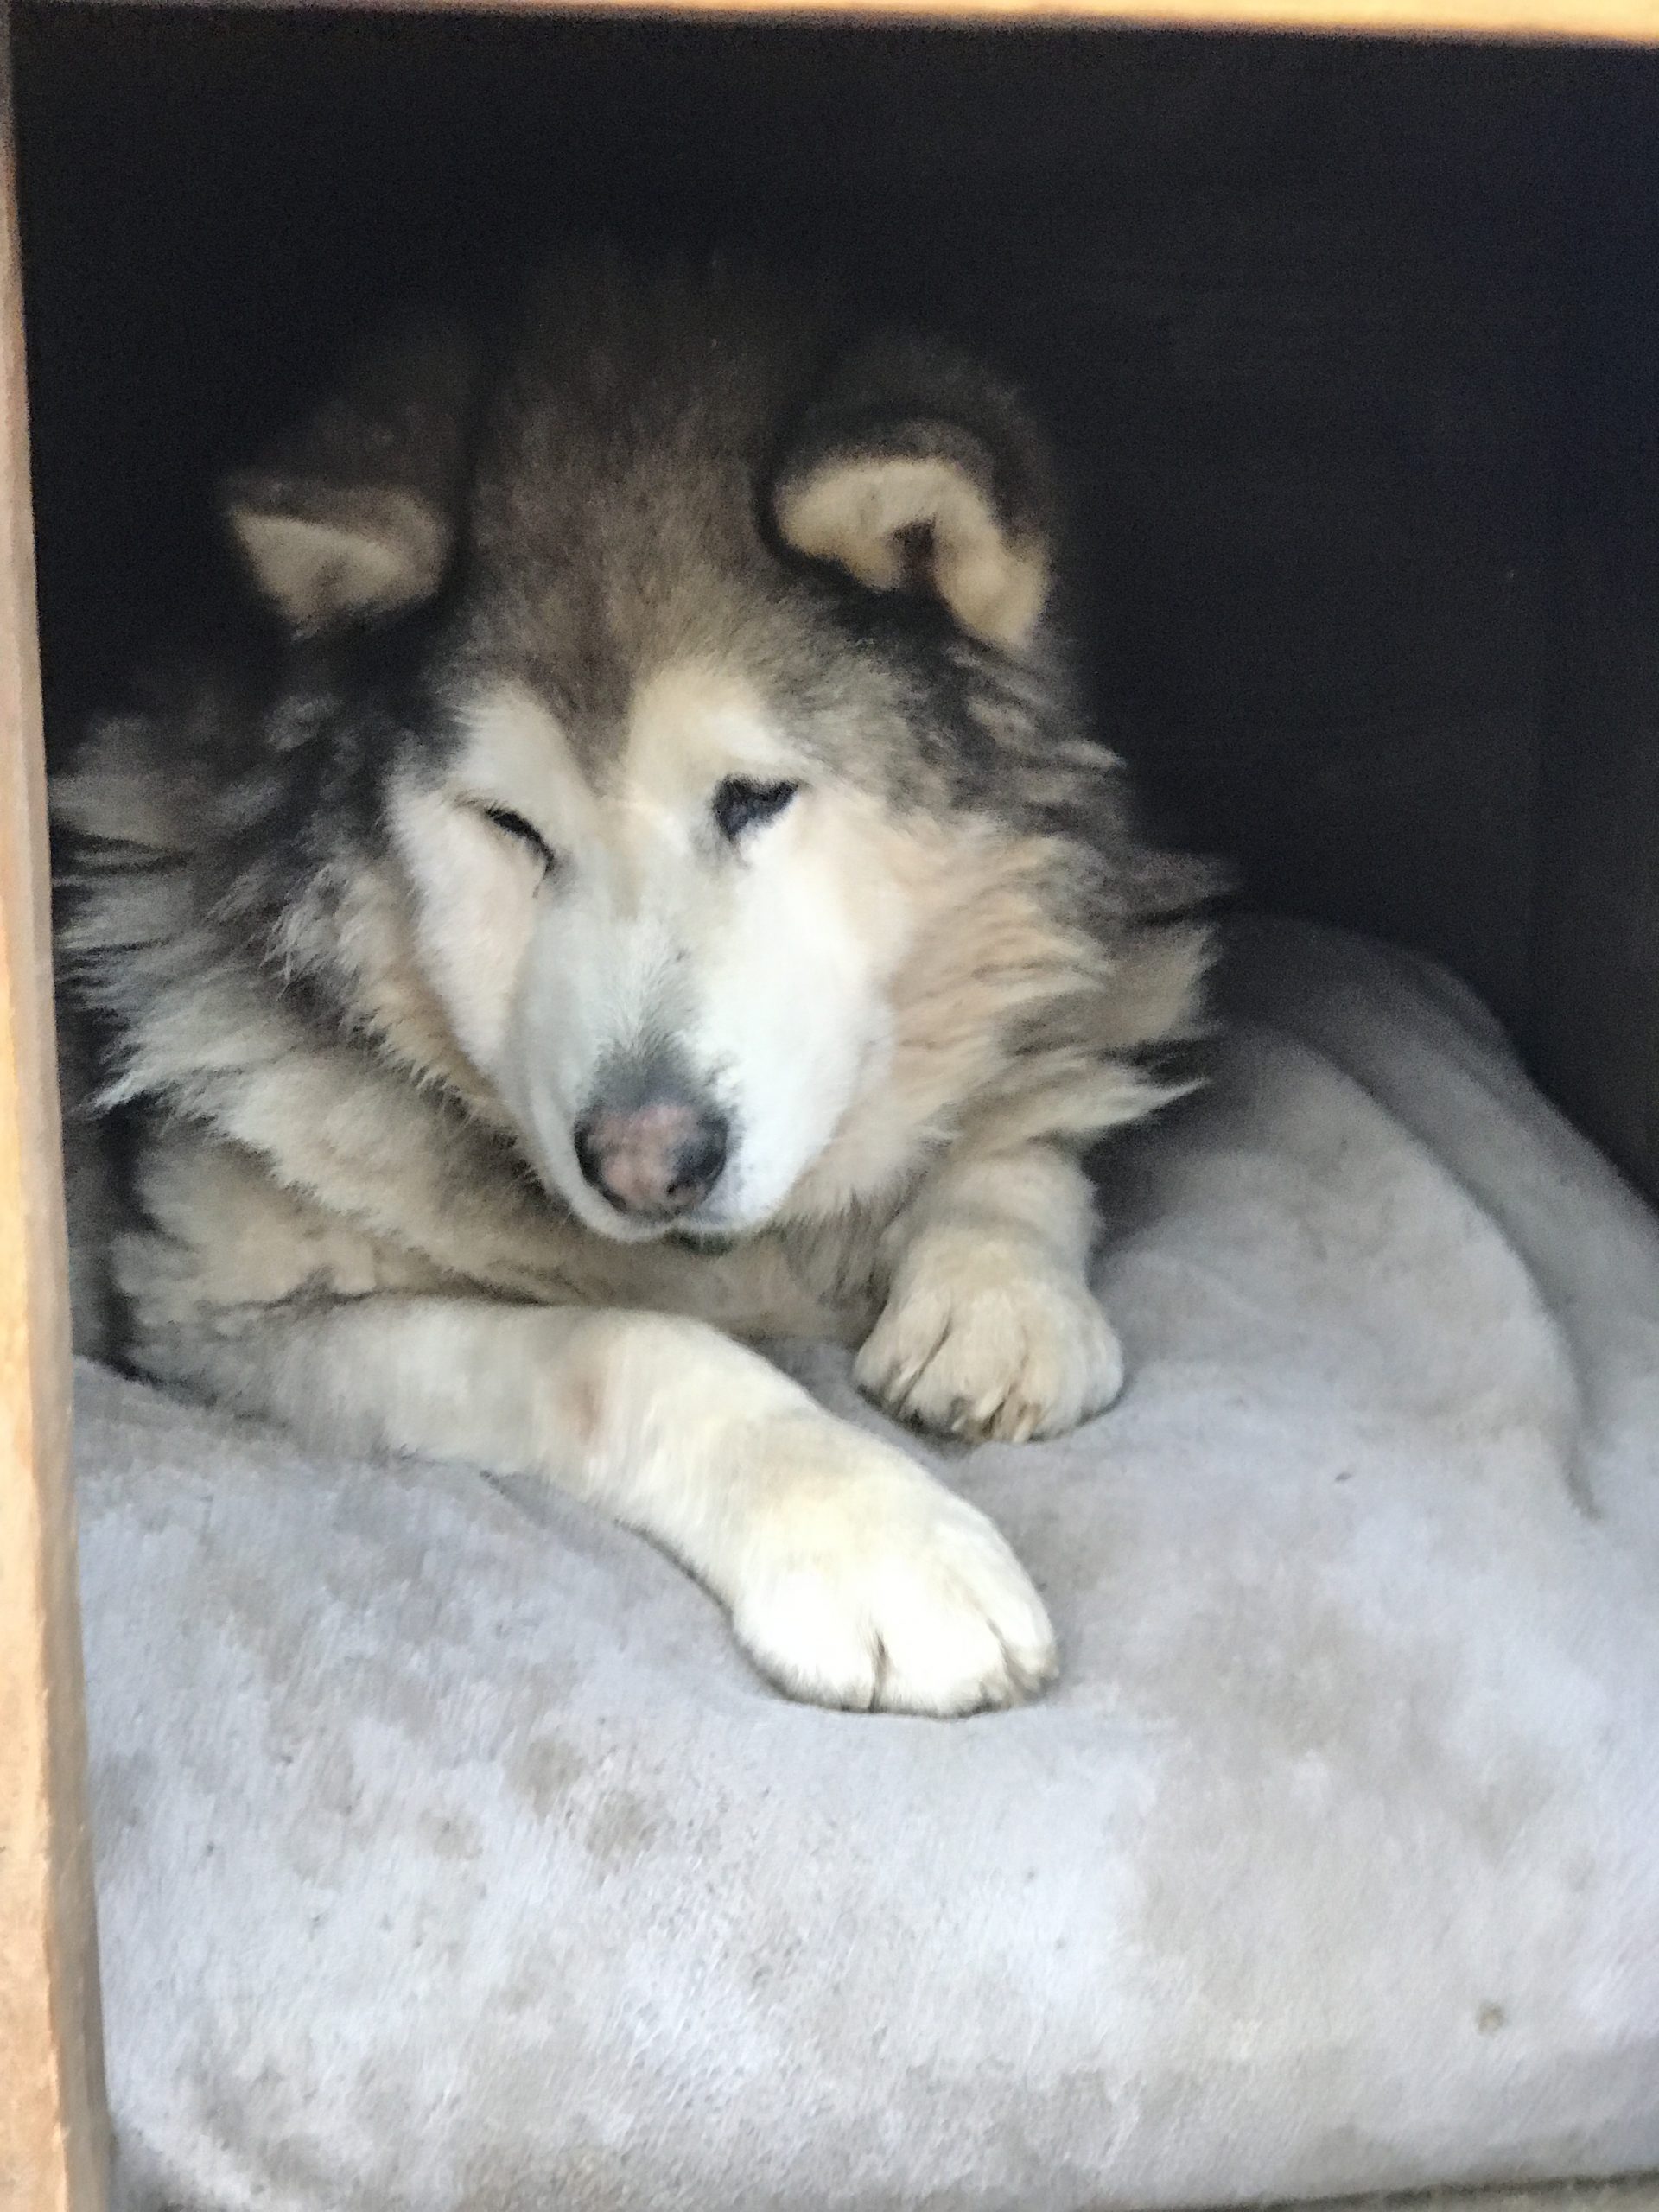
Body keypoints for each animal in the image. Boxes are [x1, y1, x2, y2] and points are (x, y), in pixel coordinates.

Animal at [55, 255, 1212, 1716]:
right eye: (509, 826)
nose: (646, 1160)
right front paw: (869, 1534)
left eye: (756, 796)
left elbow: (1029, 1117)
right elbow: (618, 1347)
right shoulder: (223, 1319)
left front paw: (998, 1288)